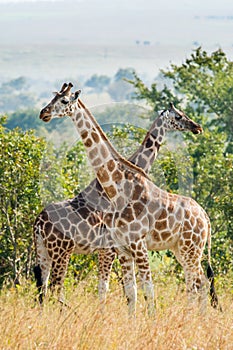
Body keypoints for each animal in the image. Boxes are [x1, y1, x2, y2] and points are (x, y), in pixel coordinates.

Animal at [36, 82, 218, 314]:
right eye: (179, 116)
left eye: (64, 100)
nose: (44, 113)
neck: (117, 188)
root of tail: (205, 216)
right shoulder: (120, 248)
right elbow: (130, 292)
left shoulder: (129, 247)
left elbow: (139, 291)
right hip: (56, 251)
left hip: (189, 248)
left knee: (197, 282)